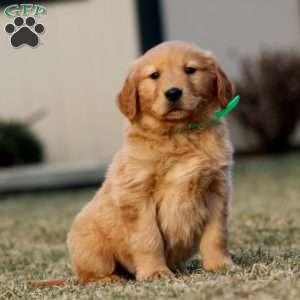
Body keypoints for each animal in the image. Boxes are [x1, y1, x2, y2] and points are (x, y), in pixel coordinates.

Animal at [67, 41, 234, 282]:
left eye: (190, 70)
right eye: (154, 75)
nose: (173, 92)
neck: (179, 134)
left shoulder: (216, 189)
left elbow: (216, 234)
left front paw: (220, 265)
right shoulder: (137, 195)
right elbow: (149, 238)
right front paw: (155, 272)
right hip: (89, 243)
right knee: (90, 274)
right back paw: (111, 279)